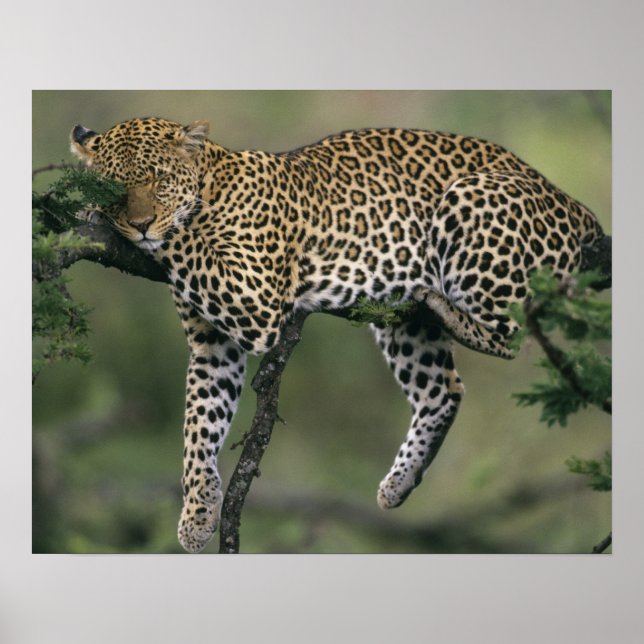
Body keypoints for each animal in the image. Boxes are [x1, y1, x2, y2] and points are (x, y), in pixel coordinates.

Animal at [70, 116, 606, 553]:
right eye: (115, 187)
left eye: (159, 181)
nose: (140, 225)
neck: (213, 184)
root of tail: (573, 202)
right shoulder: (211, 344)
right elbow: (200, 424)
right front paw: (198, 513)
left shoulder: (253, 297)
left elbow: (186, 239)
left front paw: (96, 218)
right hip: (401, 322)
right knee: (444, 389)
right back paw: (399, 483)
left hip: (473, 200)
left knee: (515, 331)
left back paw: (448, 306)